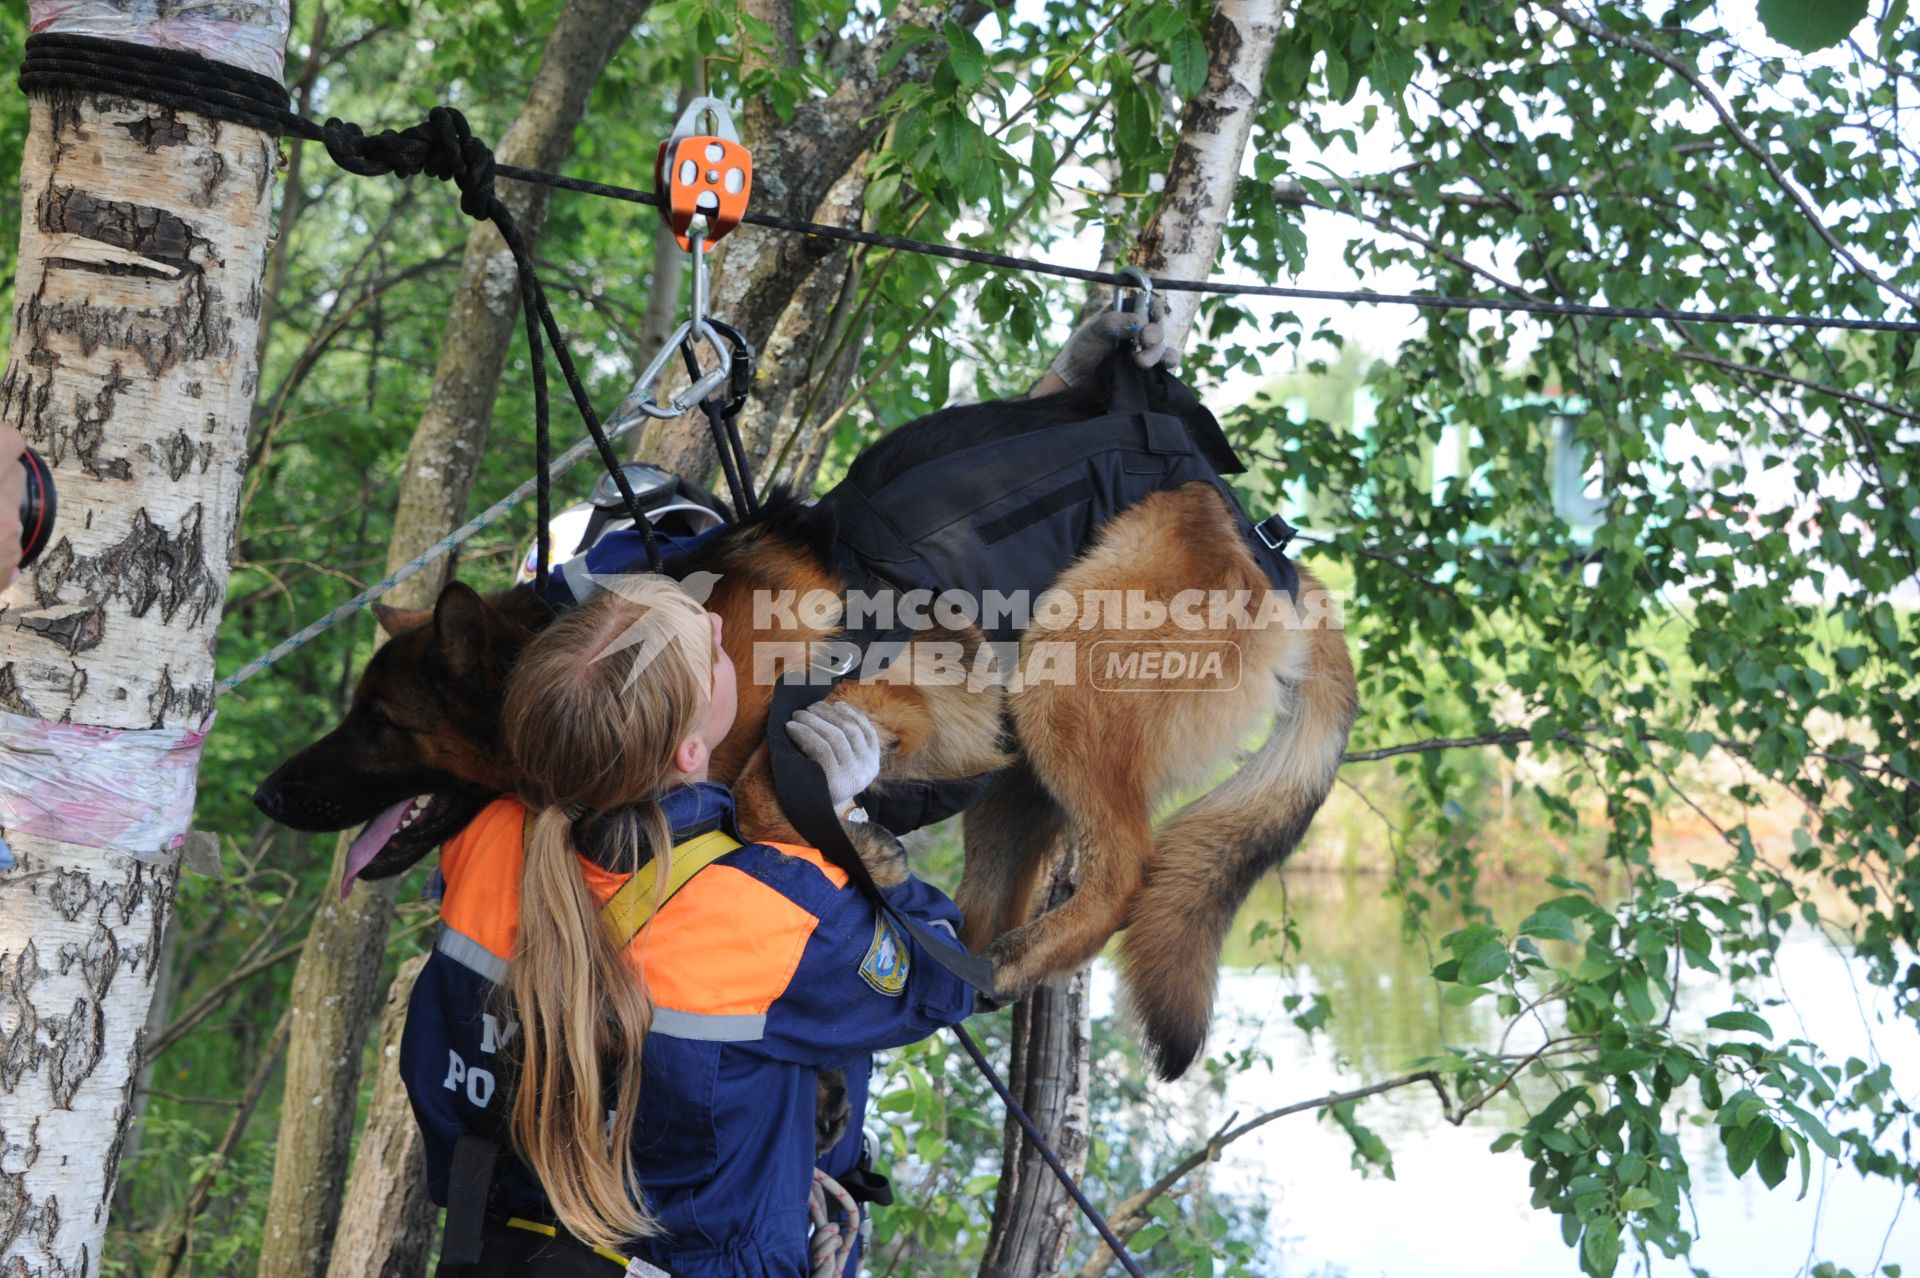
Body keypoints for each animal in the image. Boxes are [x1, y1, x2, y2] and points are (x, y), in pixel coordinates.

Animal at [259, 368, 1367, 1074]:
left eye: (378, 723)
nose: (269, 793)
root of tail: (1276, 556)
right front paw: (861, 844)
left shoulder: (907, 699)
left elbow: (761, 785)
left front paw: (850, 838)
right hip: (1019, 775)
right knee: (997, 900)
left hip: (1060, 683)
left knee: (1127, 869)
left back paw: (1008, 948)